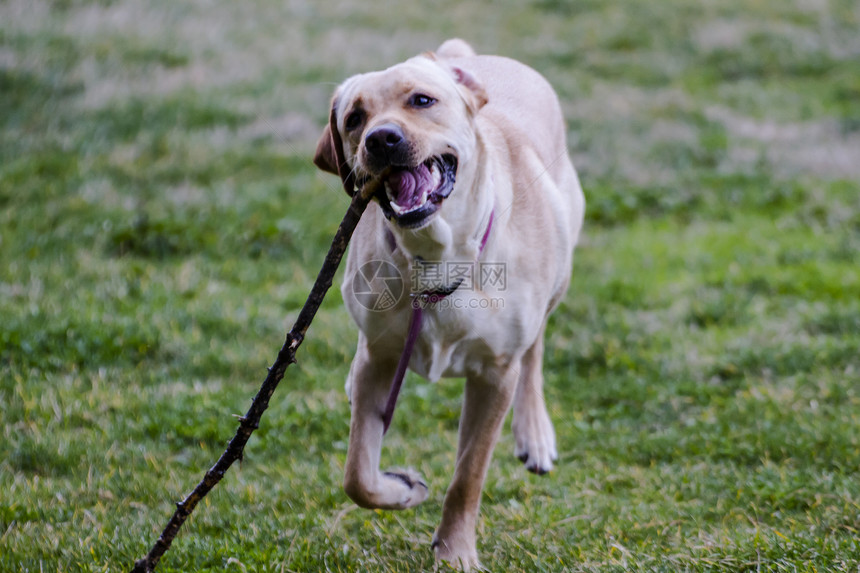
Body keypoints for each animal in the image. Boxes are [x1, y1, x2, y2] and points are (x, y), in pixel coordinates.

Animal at [312, 39, 580, 568]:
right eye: (354, 118)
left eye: (422, 101)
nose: (381, 139)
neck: (436, 259)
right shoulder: (380, 359)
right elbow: (357, 476)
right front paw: (401, 490)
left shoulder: (496, 374)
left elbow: (467, 477)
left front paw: (454, 553)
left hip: (560, 267)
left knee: (536, 347)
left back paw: (534, 433)